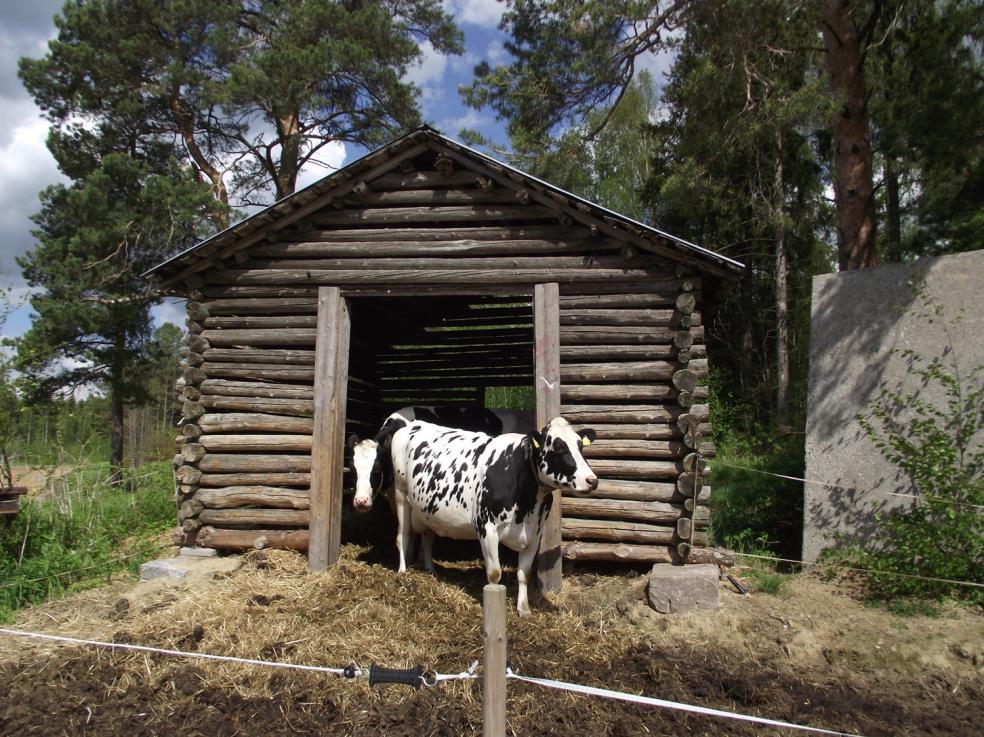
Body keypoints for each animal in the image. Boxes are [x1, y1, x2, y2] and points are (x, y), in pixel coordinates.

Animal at [380, 414, 600, 616]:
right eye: (558, 447)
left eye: (580, 446)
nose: (592, 480)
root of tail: (409, 423)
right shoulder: (487, 528)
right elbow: (494, 574)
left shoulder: (535, 534)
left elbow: (524, 574)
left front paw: (524, 609)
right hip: (401, 495)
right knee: (402, 536)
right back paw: (402, 572)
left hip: (427, 510)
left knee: (427, 537)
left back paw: (430, 569)